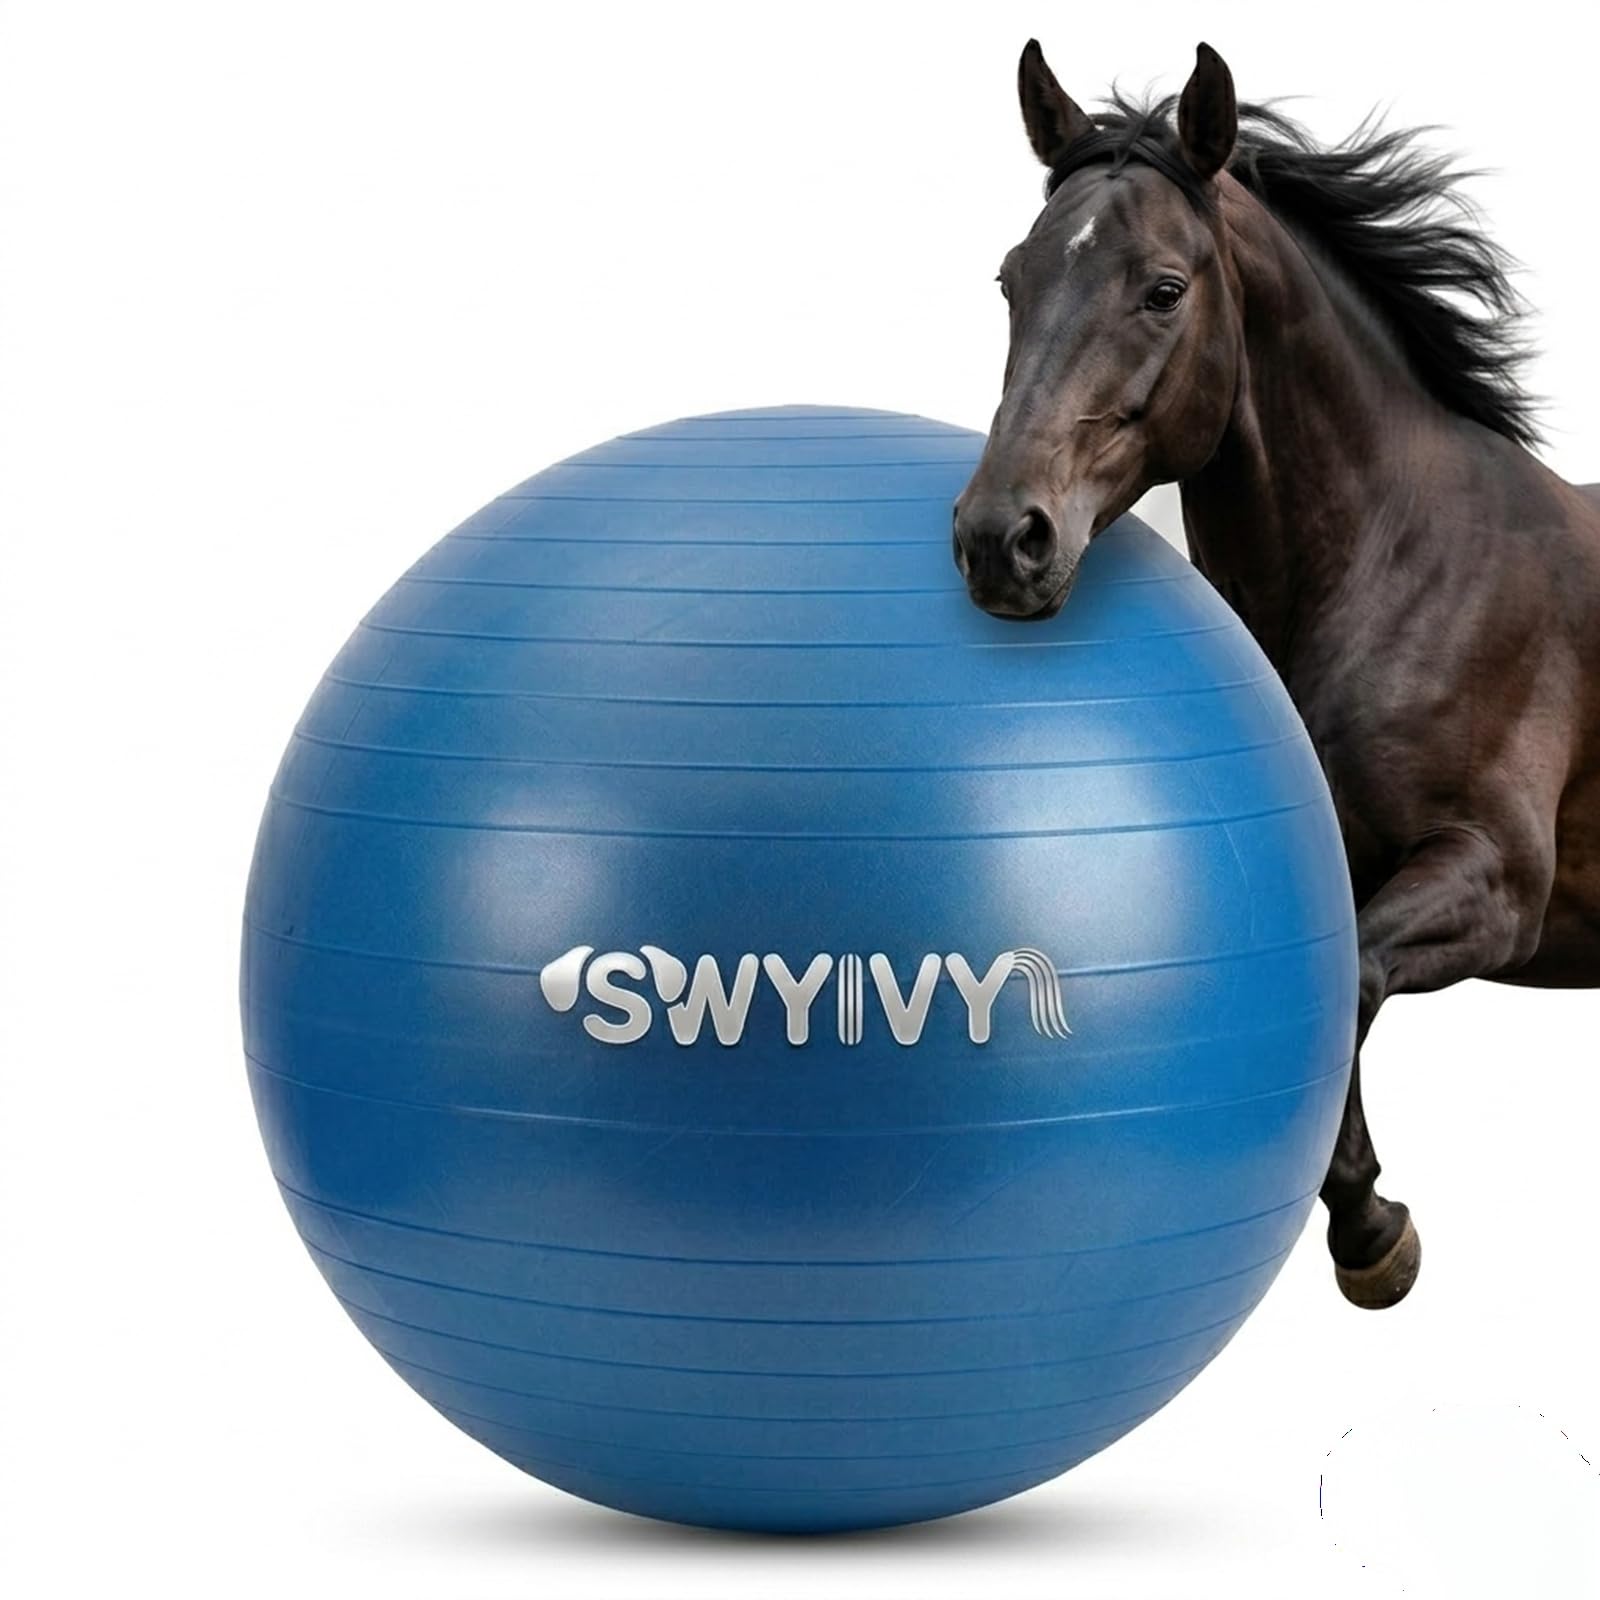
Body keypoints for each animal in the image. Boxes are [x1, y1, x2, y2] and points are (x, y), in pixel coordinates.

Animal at [952, 39, 1600, 1309]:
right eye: (1011, 279)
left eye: (1162, 289)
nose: (1001, 540)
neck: (1400, 565)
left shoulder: (1497, 874)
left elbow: (1350, 985)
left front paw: (1372, 1234)